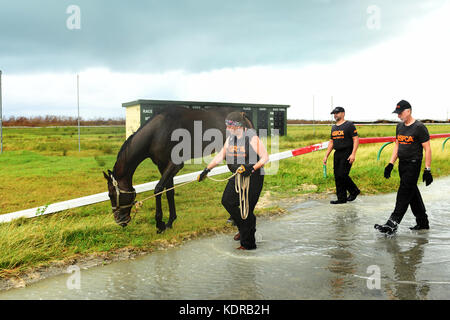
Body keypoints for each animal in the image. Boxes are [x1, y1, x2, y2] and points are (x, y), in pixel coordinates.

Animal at [103, 106, 255, 234]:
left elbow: (158, 189)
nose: (119, 220)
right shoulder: (162, 165)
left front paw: (159, 223)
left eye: (111, 195)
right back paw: (233, 217)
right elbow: (169, 191)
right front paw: (170, 222)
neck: (157, 132)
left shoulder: (174, 165)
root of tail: (243, 114)